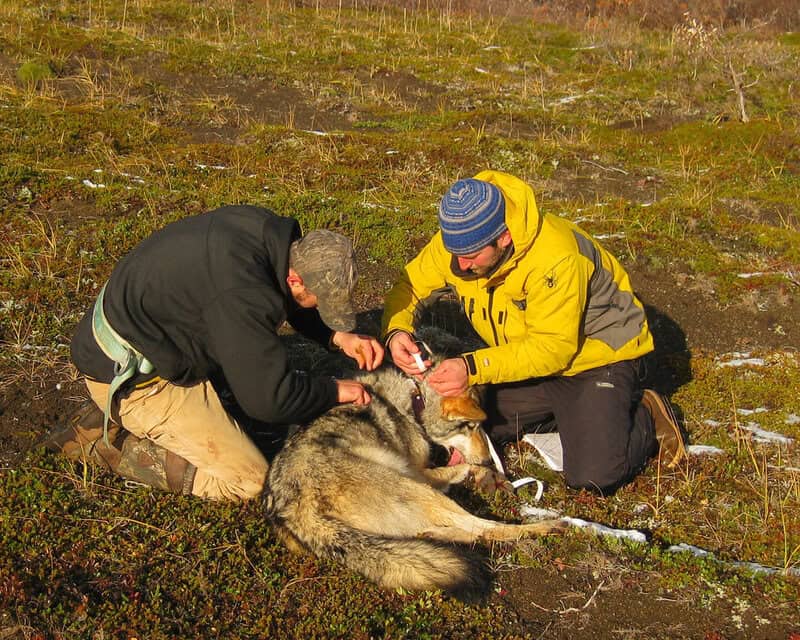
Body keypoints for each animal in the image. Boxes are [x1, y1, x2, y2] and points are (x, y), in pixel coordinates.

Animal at [264, 361, 564, 599]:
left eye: (479, 427)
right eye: (471, 426)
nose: (488, 460)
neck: (413, 402)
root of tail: (293, 512)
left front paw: (489, 477)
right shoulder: (421, 471)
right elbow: (462, 467)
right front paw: (484, 473)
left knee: (458, 531)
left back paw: (434, 534)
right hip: (418, 489)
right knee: (488, 529)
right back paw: (551, 526)